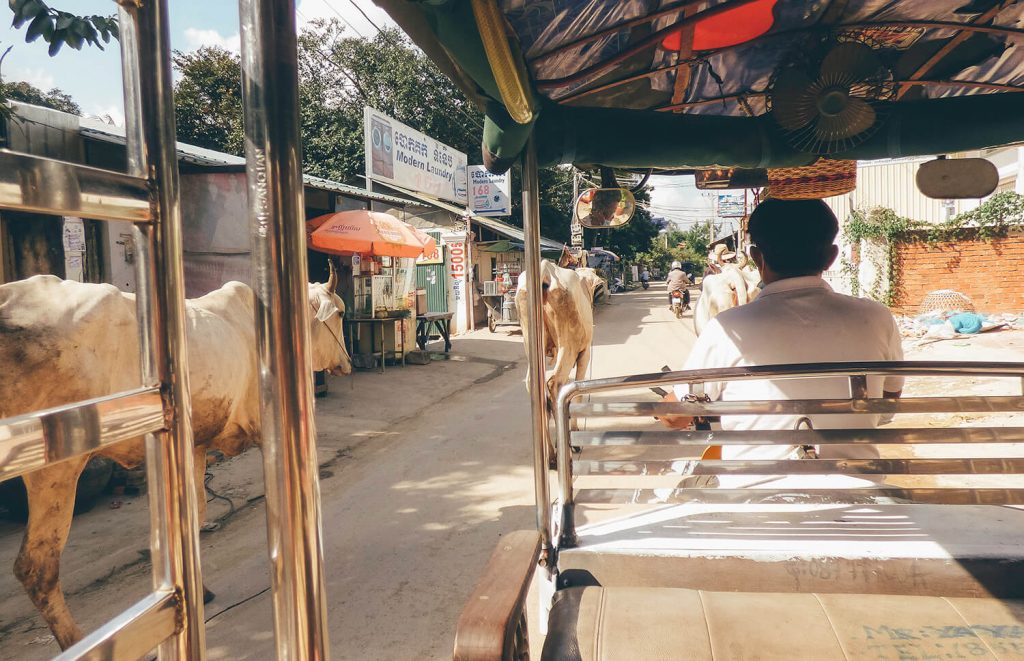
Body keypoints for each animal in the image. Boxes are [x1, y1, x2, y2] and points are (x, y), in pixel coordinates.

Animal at [0, 270, 350, 650]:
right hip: (57, 470)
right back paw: (78, 641)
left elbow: (196, 518)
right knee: (36, 567)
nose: (346, 363)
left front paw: (200, 589)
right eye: (342, 313)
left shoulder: (196, 445)